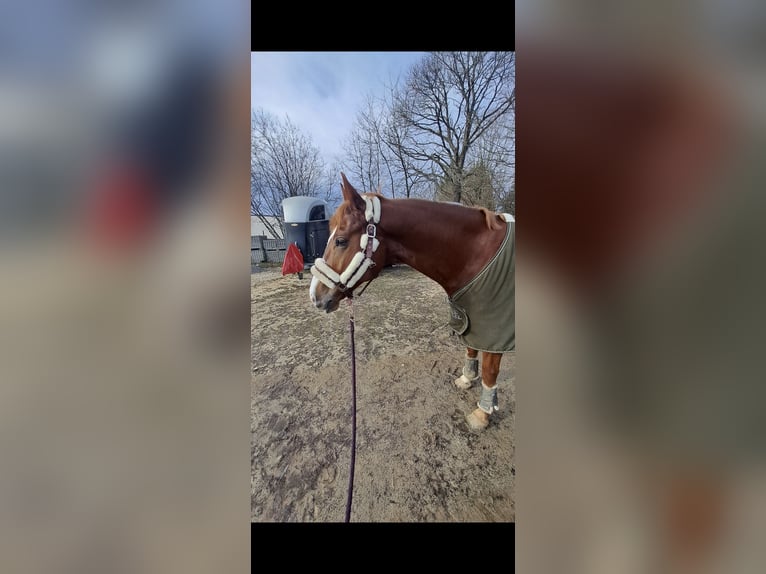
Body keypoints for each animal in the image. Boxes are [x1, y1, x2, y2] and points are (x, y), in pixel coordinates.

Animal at [309, 173, 514, 430]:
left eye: (341, 241)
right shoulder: (473, 320)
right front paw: (467, 379)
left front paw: (482, 414)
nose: (315, 296)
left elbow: (489, 371)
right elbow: (470, 348)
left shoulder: (495, 330)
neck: (478, 254)